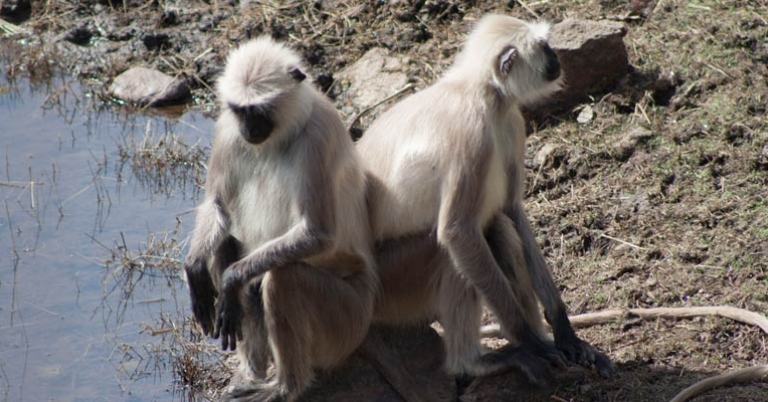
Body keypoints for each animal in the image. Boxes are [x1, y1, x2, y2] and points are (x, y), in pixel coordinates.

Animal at [182, 36, 379, 402]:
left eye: (257, 110)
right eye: (239, 110)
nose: (248, 128)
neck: (284, 133)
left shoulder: (316, 138)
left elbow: (317, 234)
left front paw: (231, 280)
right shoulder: (227, 129)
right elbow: (217, 205)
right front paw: (194, 269)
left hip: (347, 319)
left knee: (283, 279)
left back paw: (286, 387)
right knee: (226, 244)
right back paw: (252, 372)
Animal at [357, 14, 615, 382]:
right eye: (544, 47)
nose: (556, 58)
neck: (484, 93)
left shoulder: (512, 122)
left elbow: (511, 209)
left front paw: (565, 333)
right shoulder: (471, 133)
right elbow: (457, 232)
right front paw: (531, 342)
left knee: (500, 230)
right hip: (389, 284)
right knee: (449, 250)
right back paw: (477, 361)